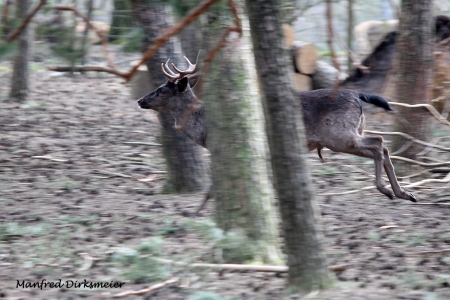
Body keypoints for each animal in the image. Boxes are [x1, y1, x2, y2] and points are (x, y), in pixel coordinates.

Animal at [137, 54, 418, 206]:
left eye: (162, 90)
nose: (140, 100)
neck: (204, 128)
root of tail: (358, 95)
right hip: (346, 134)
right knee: (382, 145)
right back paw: (405, 193)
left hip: (339, 135)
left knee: (378, 143)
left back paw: (389, 191)